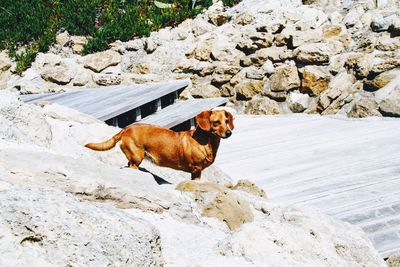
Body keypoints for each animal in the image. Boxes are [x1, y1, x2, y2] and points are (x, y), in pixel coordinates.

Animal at [84, 110, 234, 181]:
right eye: (216, 122)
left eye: (227, 121)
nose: (229, 133)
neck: (205, 142)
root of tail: (125, 129)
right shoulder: (196, 170)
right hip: (137, 157)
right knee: (132, 166)